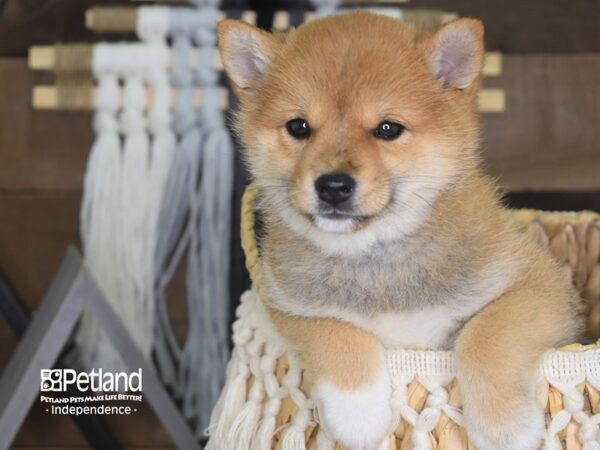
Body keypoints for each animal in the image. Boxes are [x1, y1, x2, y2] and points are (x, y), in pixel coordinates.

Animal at [216, 12, 580, 448]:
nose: (332, 186)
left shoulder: (539, 283)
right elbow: (333, 332)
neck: (375, 260)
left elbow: (488, 334)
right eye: (299, 126)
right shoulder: (284, 304)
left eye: (388, 129)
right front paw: (358, 412)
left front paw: (504, 426)